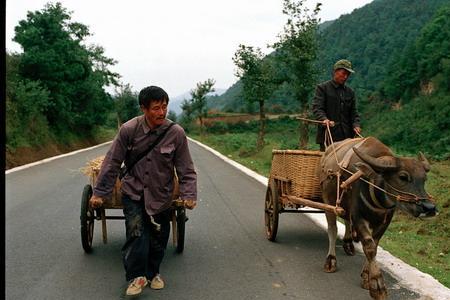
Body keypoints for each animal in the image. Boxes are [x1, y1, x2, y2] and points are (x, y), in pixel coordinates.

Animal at [316, 137, 436, 300]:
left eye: (424, 179)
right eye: (403, 177)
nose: (429, 208)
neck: (373, 188)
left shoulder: (385, 221)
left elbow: (375, 244)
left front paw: (366, 277)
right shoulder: (359, 217)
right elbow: (369, 246)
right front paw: (377, 285)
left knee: (346, 222)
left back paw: (348, 244)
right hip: (328, 202)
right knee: (332, 229)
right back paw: (330, 261)